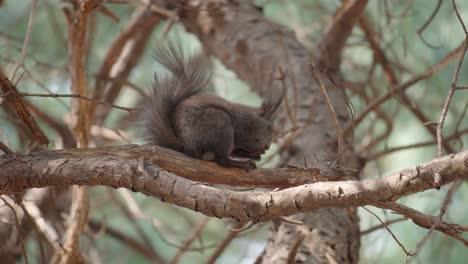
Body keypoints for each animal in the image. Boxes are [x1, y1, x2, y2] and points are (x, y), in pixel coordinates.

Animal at [139, 40, 284, 170]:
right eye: (269, 127)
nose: (267, 147)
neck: (251, 119)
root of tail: (186, 147)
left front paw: (255, 154)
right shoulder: (241, 125)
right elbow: (243, 137)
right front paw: (255, 150)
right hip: (219, 123)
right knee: (222, 160)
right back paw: (242, 164)